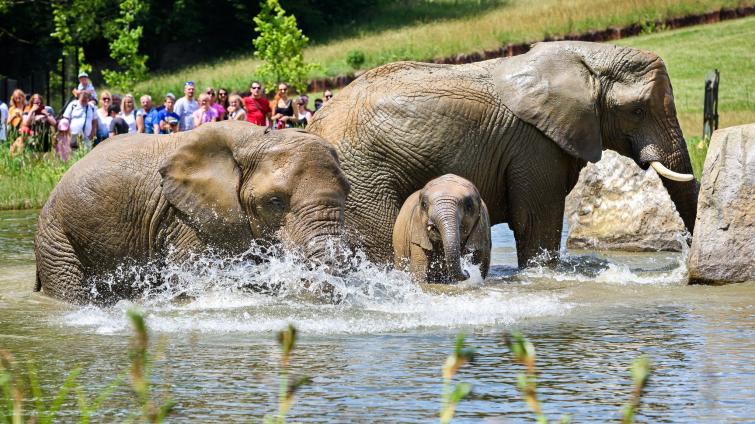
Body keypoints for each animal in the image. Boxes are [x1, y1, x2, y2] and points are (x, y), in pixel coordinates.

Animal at [310, 40, 700, 268]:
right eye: (638, 110)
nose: (686, 257)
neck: (581, 59)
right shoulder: (533, 145)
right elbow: (535, 220)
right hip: (364, 176)